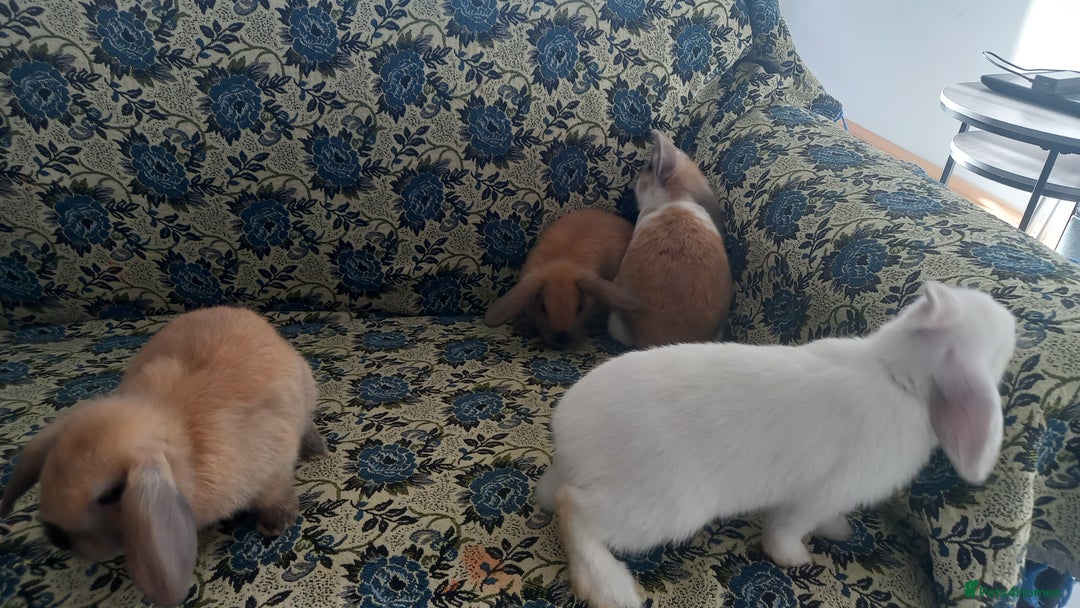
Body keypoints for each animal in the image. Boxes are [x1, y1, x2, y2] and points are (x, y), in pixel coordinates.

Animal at [0, 306, 328, 607]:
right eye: (49, 470)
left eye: (113, 493)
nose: (55, 536)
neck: (185, 448)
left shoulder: (273, 468)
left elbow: (277, 495)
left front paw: (275, 525)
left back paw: (316, 450)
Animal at [537, 282, 1017, 608]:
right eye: (999, 348)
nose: (1013, 320)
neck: (897, 375)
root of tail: (569, 439)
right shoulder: (818, 494)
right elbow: (786, 529)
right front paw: (794, 559)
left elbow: (824, 520)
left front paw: (840, 531)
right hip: (665, 507)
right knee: (572, 509)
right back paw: (609, 588)